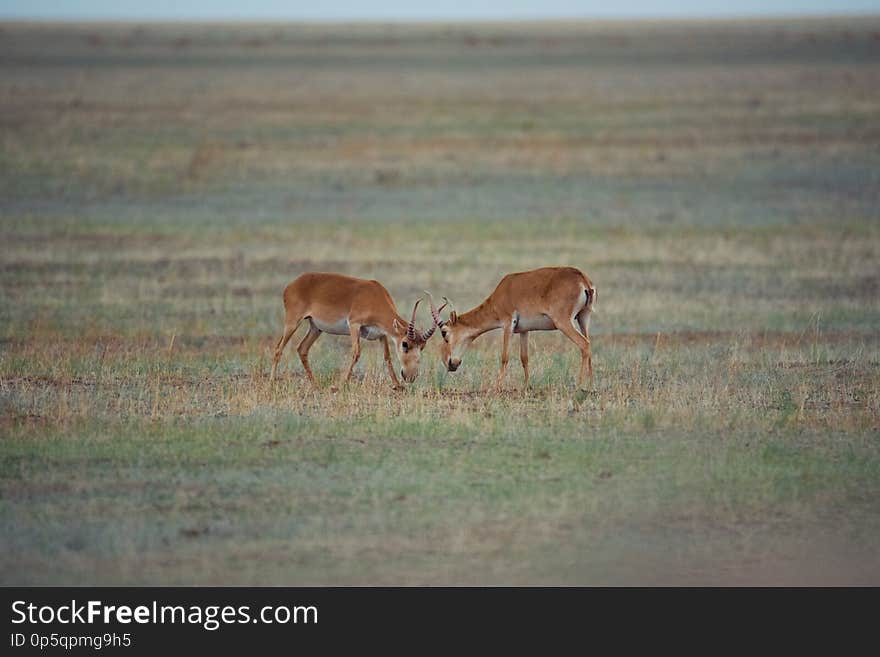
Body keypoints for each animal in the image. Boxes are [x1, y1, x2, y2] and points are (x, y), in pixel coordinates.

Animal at [270, 272, 446, 390]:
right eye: (405, 344)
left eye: (422, 347)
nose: (410, 376)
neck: (375, 296)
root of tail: (291, 285)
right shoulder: (354, 325)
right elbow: (356, 353)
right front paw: (341, 384)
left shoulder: (381, 334)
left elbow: (387, 357)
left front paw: (397, 385)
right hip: (292, 322)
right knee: (278, 348)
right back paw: (272, 382)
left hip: (315, 328)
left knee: (302, 349)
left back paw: (316, 385)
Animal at [428, 266, 596, 390]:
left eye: (444, 332)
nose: (450, 364)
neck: (503, 290)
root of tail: (583, 279)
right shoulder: (524, 331)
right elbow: (524, 358)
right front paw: (526, 386)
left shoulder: (508, 324)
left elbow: (504, 356)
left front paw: (497, 387)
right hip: (584, 318)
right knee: (589, 345)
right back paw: (590, 385)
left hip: (564, 323)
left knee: (584, 344)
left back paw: (579, 385)